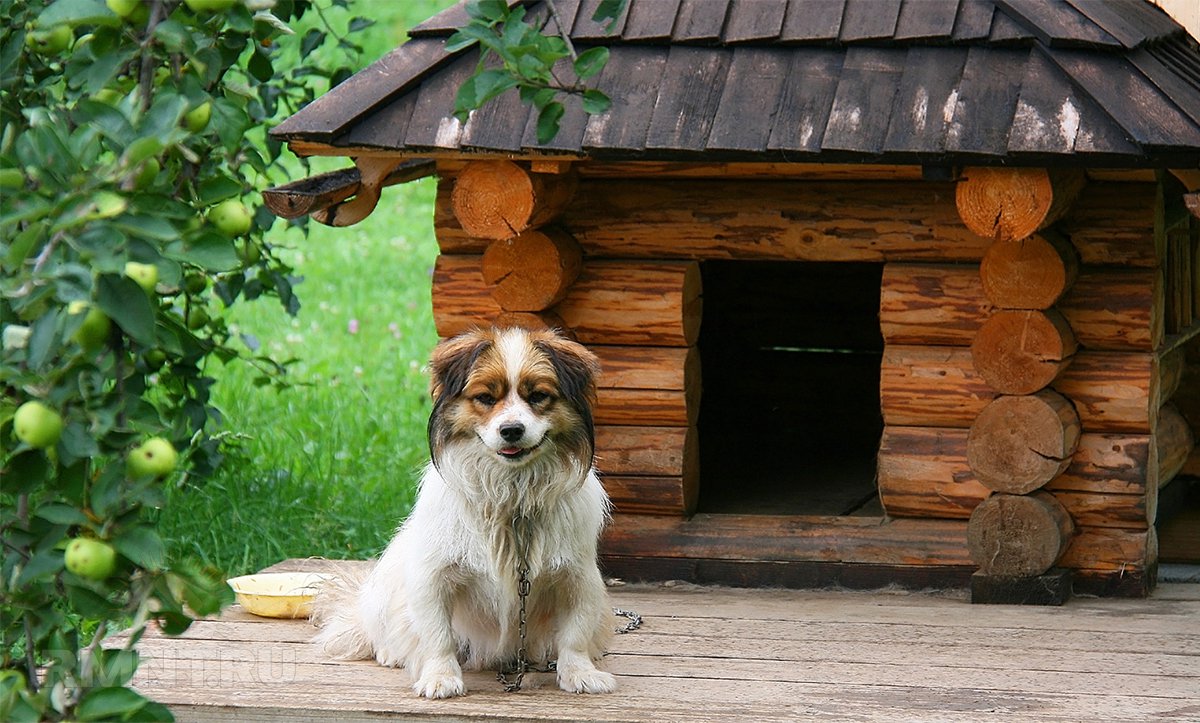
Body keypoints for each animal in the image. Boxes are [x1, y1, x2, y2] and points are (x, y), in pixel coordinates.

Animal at [312, 329, 619, 696]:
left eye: (538, 396)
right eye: (485, 398)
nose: (511, 430)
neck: (512, 494)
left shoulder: (579, 578)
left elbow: (575, 633)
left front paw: (579, 673)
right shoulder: (433, 578)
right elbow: (437, 635)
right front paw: (440, 677)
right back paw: (390, 652)